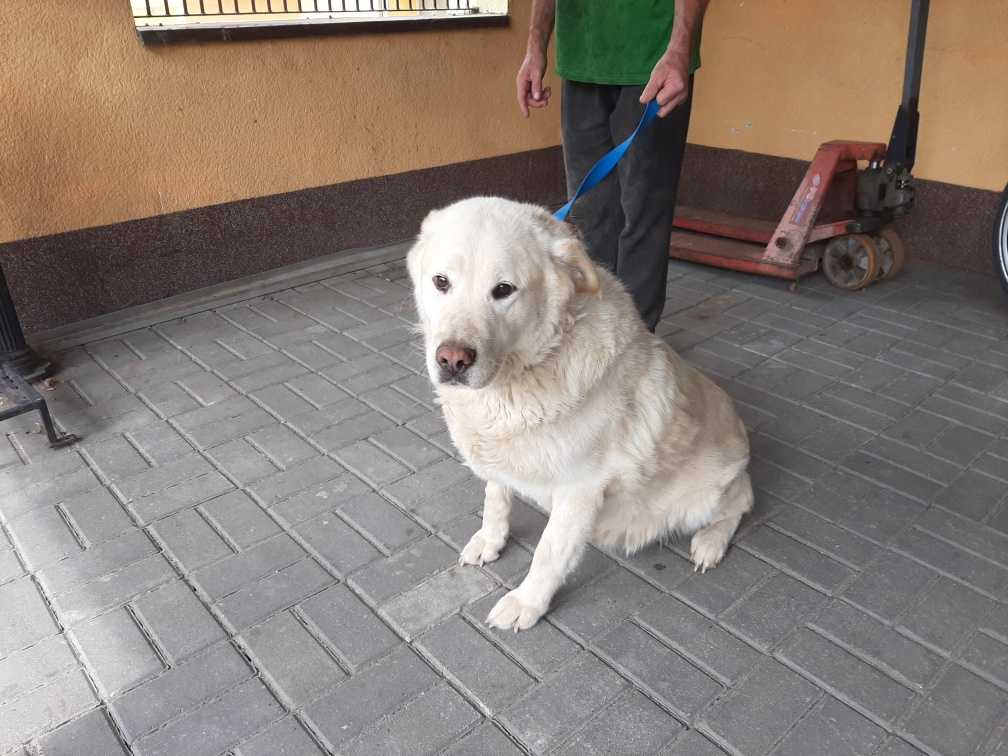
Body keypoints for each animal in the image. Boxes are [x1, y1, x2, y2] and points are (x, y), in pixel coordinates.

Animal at [407, 197, 752, 632]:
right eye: (441, 282)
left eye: (503, 290)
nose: (452, 360)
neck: (522, 378)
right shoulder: (501, 458)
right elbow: (495, 500)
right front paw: (490, 541)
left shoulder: (579, 490)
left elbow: (548, 552)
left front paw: (527, 603)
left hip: (707, 493)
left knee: (742, 501)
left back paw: (710, 542)